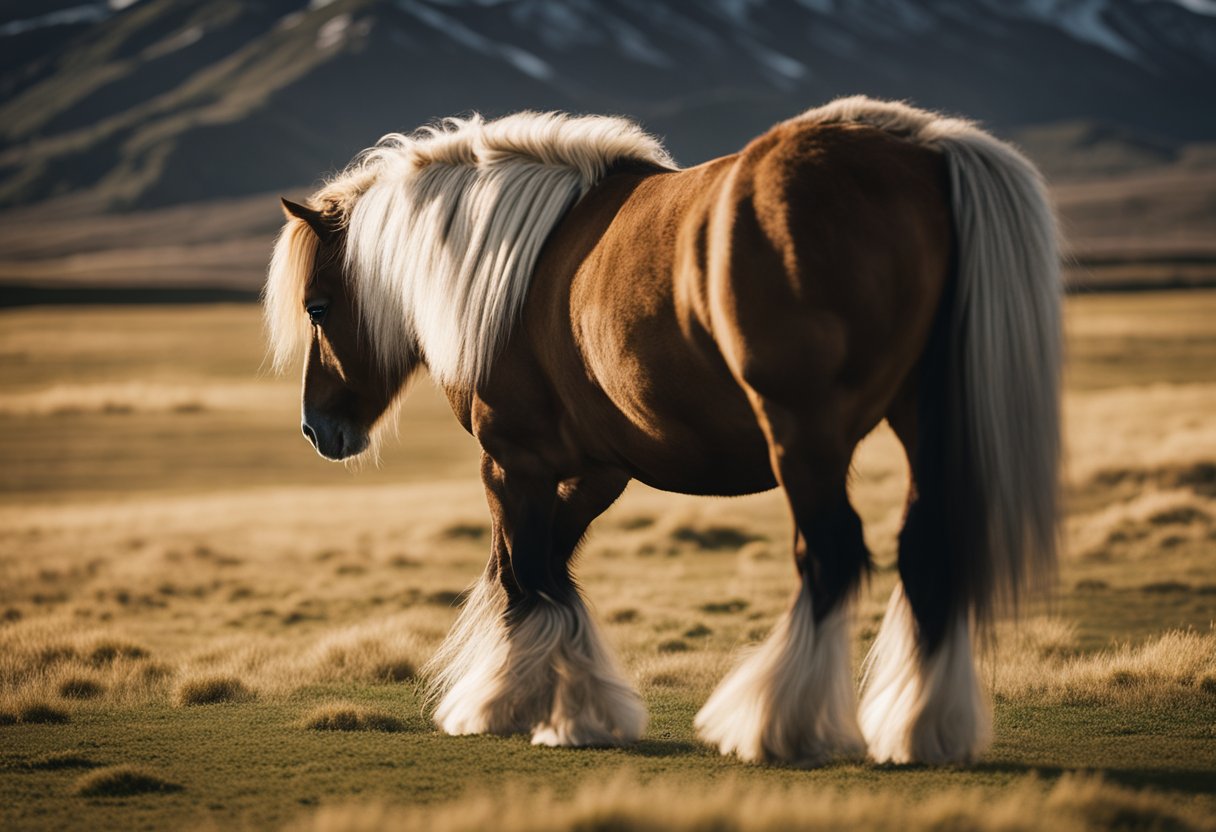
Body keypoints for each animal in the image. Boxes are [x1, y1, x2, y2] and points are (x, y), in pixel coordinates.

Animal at [261, 97, 1060, 768]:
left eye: (318, 307)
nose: (317, 428)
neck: (509, 270)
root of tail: (920, 152)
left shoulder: (513, 461)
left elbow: (525, 574)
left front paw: (511, 705)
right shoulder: (596, 470)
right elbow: (551, 573)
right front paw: (575, 707)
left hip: (805, 437)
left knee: (830, 557)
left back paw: (778, 726)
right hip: (920, 418)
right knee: (926, 550)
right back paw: (922, 731)